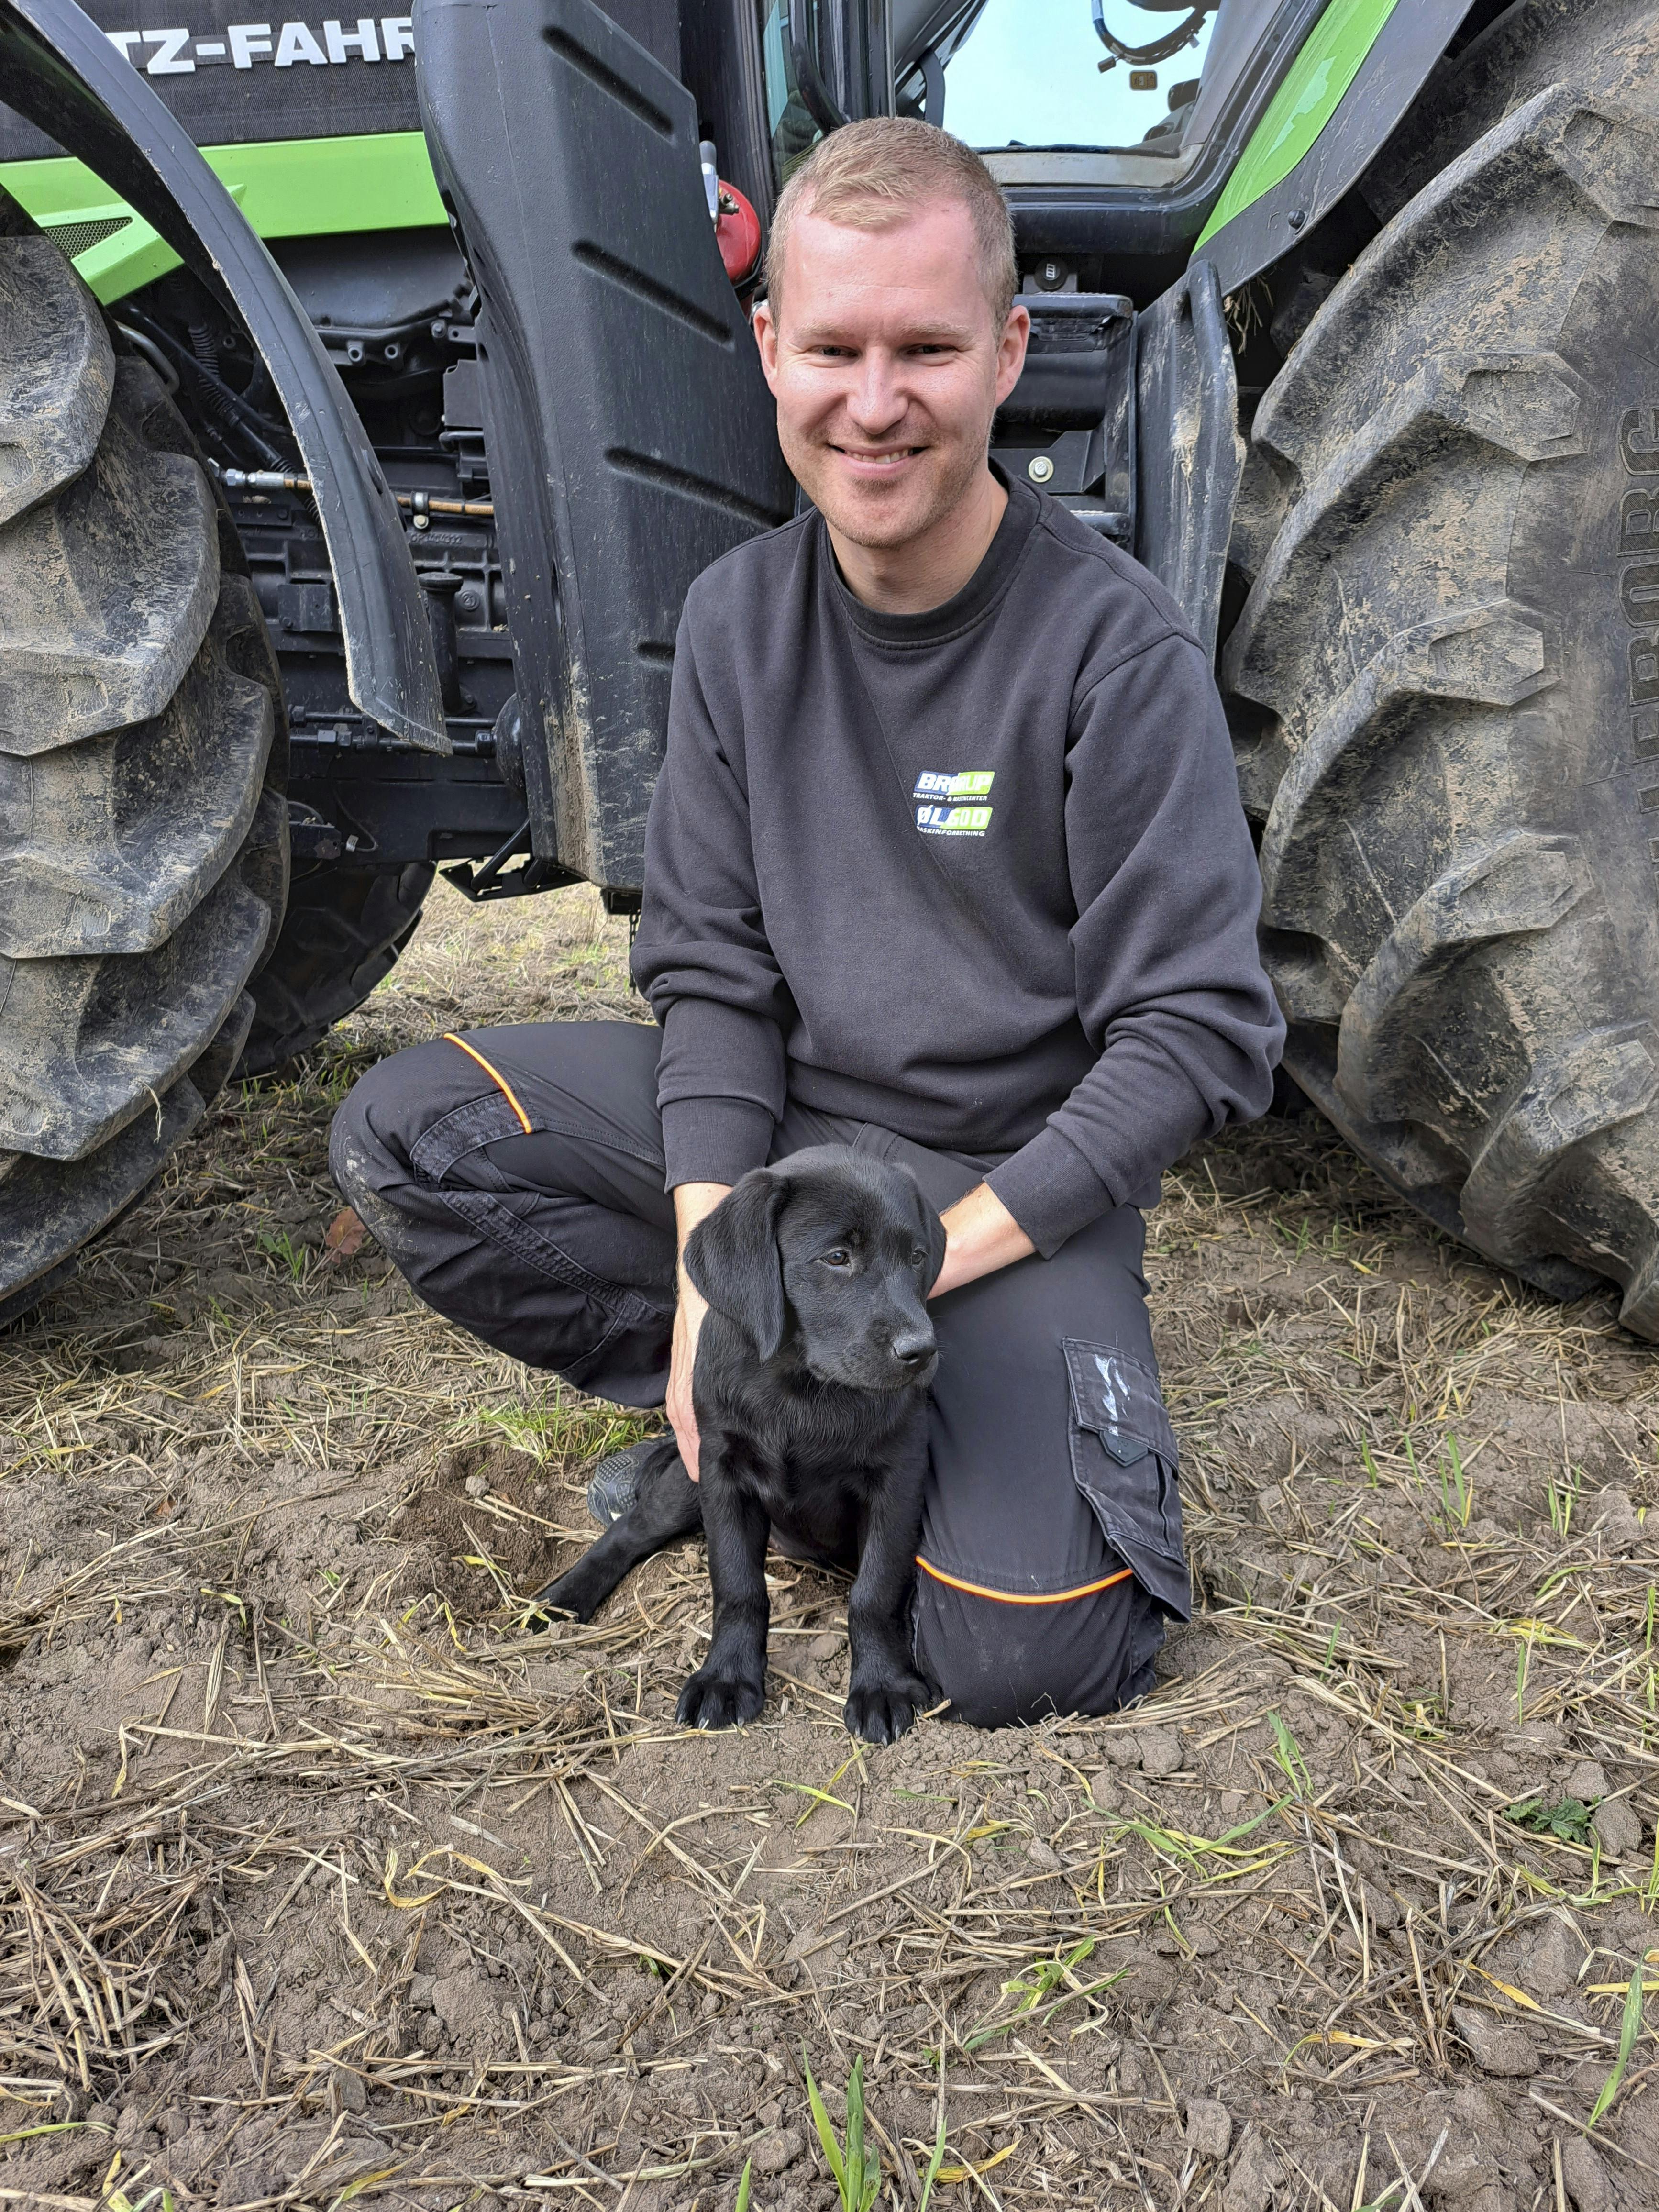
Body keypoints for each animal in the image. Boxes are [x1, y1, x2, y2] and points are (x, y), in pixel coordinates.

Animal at [535, 1150, 947, 1734]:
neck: (801, 1387)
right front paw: (726, 1679)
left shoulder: (898, 1478)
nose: (922, 1351)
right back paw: (564, 1599)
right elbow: (737, 1585)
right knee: (631, 1530)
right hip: (687, 1482)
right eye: (837, 1257)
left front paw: (882, 1686)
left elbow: (875, 1589)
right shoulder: (721, 1470)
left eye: (917, 1257)